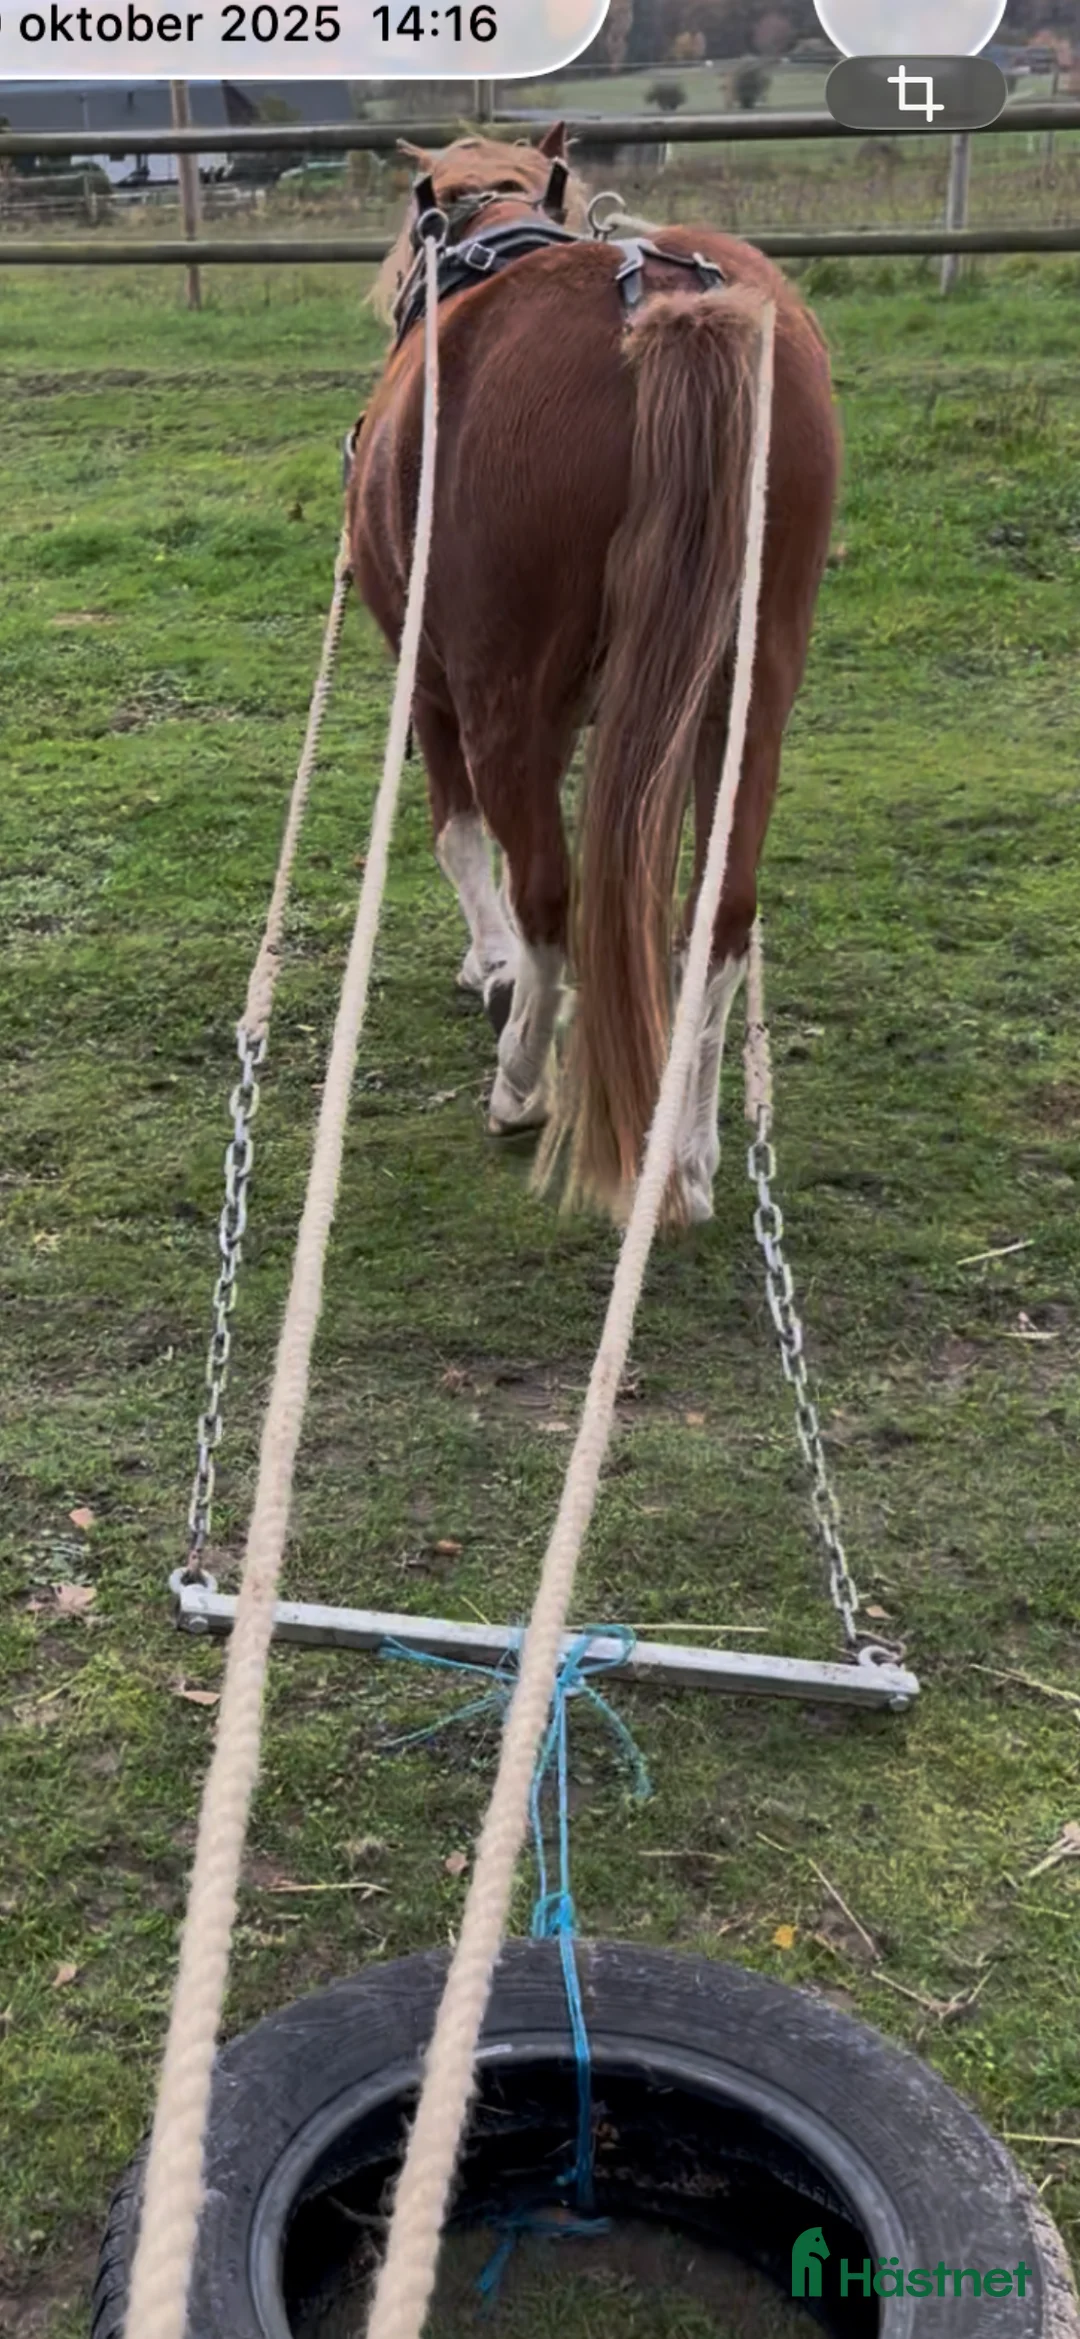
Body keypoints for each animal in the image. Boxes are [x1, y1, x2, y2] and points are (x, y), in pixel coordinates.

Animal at [347, 126, 840, 1227]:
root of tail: (669, 301)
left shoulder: (431, 689)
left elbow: (460, 836)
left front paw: (488, 969)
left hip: (505, 697)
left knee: (549, 894)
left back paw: (521, 1086)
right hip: (748, 698)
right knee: (719, 915)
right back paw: (687, 1155)